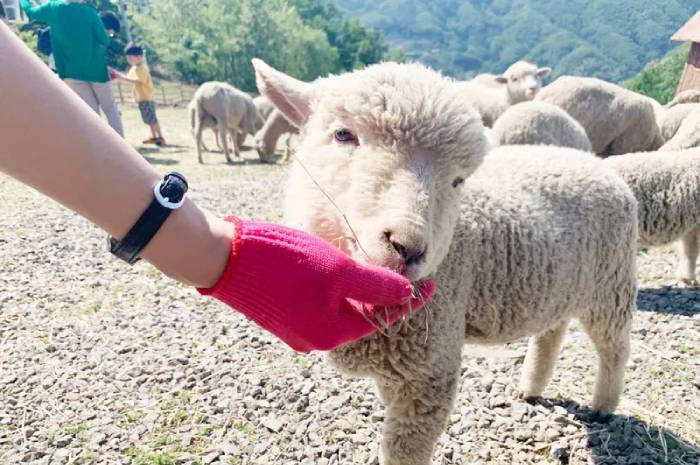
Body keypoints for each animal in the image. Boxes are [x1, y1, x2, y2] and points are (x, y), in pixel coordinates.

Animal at [253, 58, 638, 465]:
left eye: (458, 180)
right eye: (343, 135)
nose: (408, 247)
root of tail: (596, 163)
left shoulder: (428, 372)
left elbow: (403, 453)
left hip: (611, 285)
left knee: (614, 347)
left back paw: (603, 406)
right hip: (561, 284)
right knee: (551, 332)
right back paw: (531, 387)